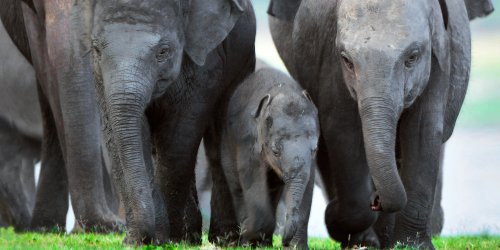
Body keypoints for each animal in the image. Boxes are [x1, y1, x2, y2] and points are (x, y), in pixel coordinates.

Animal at [62, 0, 256, 246]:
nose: (143, 237)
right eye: (97, 49)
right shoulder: (100, 76)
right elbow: (122, 135)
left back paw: (222, 240)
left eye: (163, 52)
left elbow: (179, 136)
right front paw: (140, 240)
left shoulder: (206, 62)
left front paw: (170, 239)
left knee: (217, 142)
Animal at [220, 67, 320, 249]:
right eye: (275, 151)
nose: (284, 242)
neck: (281, 90)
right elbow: (254, 184)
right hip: (226, 145)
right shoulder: (249, 143)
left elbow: (307, 184)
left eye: (314, 149)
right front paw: (250, 237)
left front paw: (297, 247)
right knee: (237, 189)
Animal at [268, 0, 490, 247]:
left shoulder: (439, 55)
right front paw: (340, 220)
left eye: (412, 57)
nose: (376, 200)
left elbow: (423, 131)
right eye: (347, 60)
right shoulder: (330, 62)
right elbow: (342, 131)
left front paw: (411, 246)